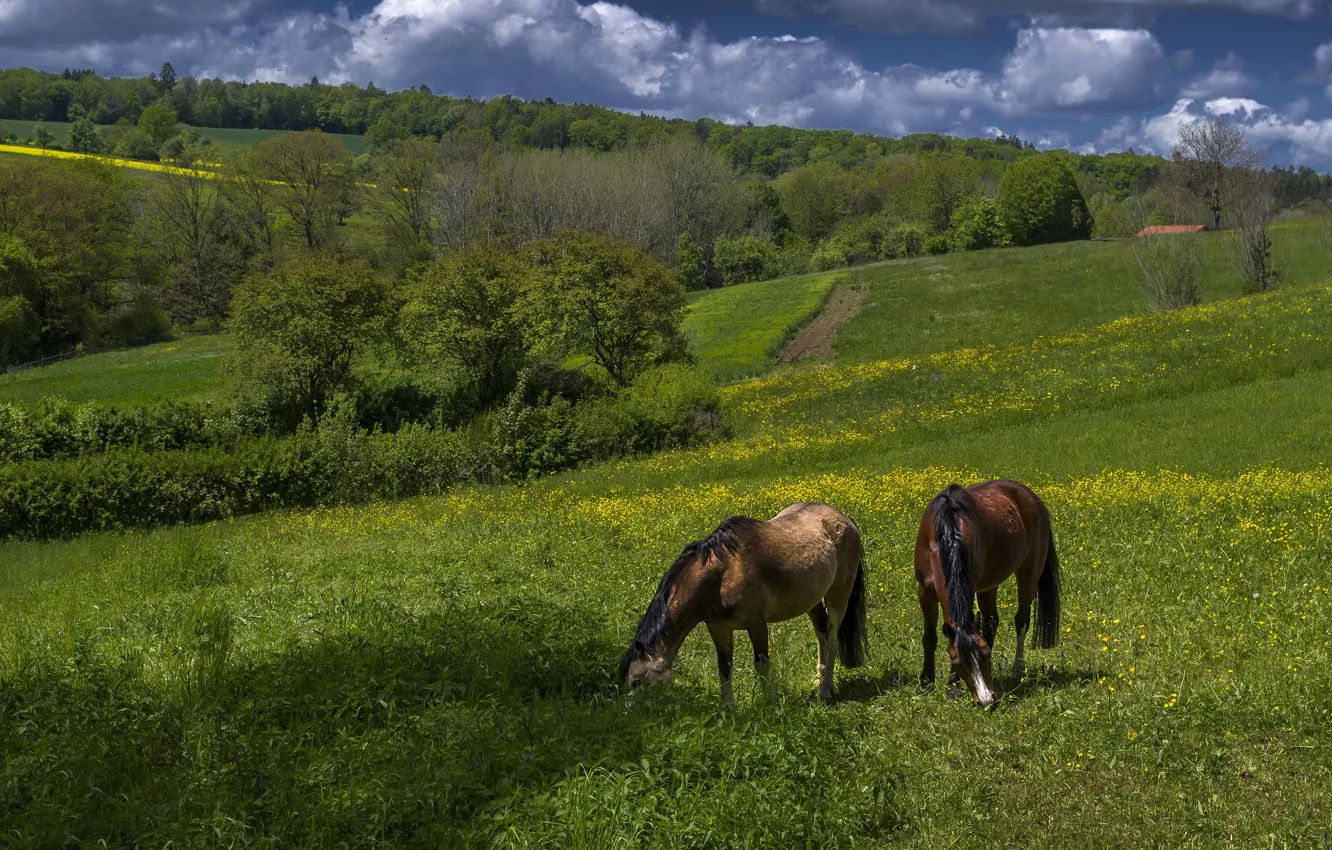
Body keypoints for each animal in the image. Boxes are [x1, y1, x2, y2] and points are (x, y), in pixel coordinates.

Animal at [619, 503, 868, 705]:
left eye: (637, 682)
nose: (630, 712)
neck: (723, 575)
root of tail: (844, 518)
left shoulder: (757, 624)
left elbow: (761, 665)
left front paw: (772, 704)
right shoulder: (718, 628)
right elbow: (724, 668)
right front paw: (728, 709)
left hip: (838, 595)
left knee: (833, 635)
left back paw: (825, 689)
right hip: (812, 599)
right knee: (821, 632)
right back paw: (818, 679)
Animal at [914, 480, 1061, 707]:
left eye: (986, 654)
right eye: (956, 660)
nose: (986, 700)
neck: (947, 534)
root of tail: (1031, 496)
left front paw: (953, 687)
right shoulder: (925, 591)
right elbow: (929, 637)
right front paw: (926, 684)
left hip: (1028, 575)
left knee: (1021, 620)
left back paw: (1018, 667)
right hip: (989, 585)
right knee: (990, 622)